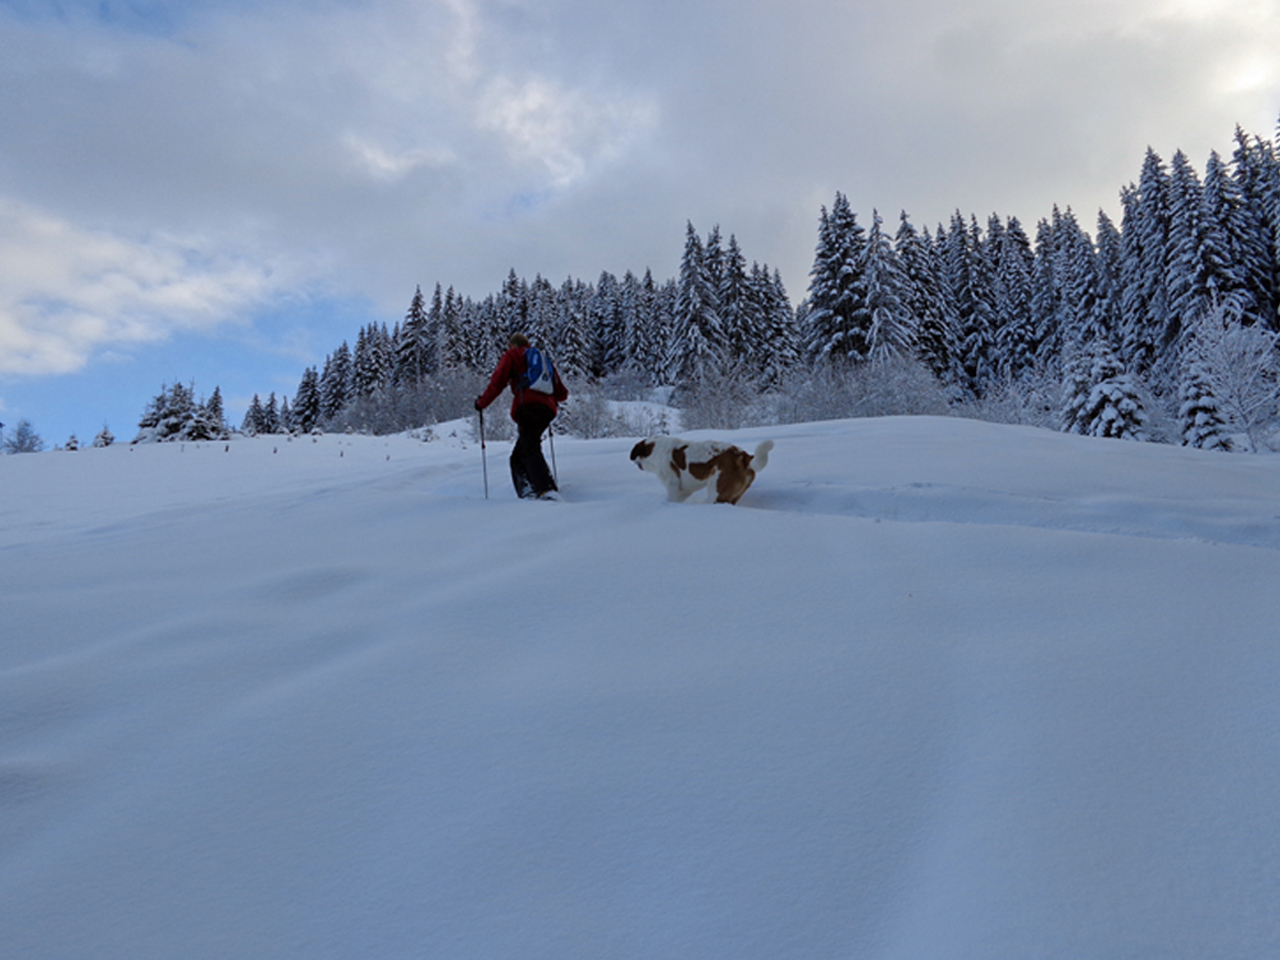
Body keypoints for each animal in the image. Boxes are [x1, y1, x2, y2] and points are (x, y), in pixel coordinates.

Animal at [629, 436, 774, 504]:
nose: (635, 462)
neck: (655, 450)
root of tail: (741, 455)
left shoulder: (673, 485)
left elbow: (672, 498)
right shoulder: (685, 489)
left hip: (717, 492)